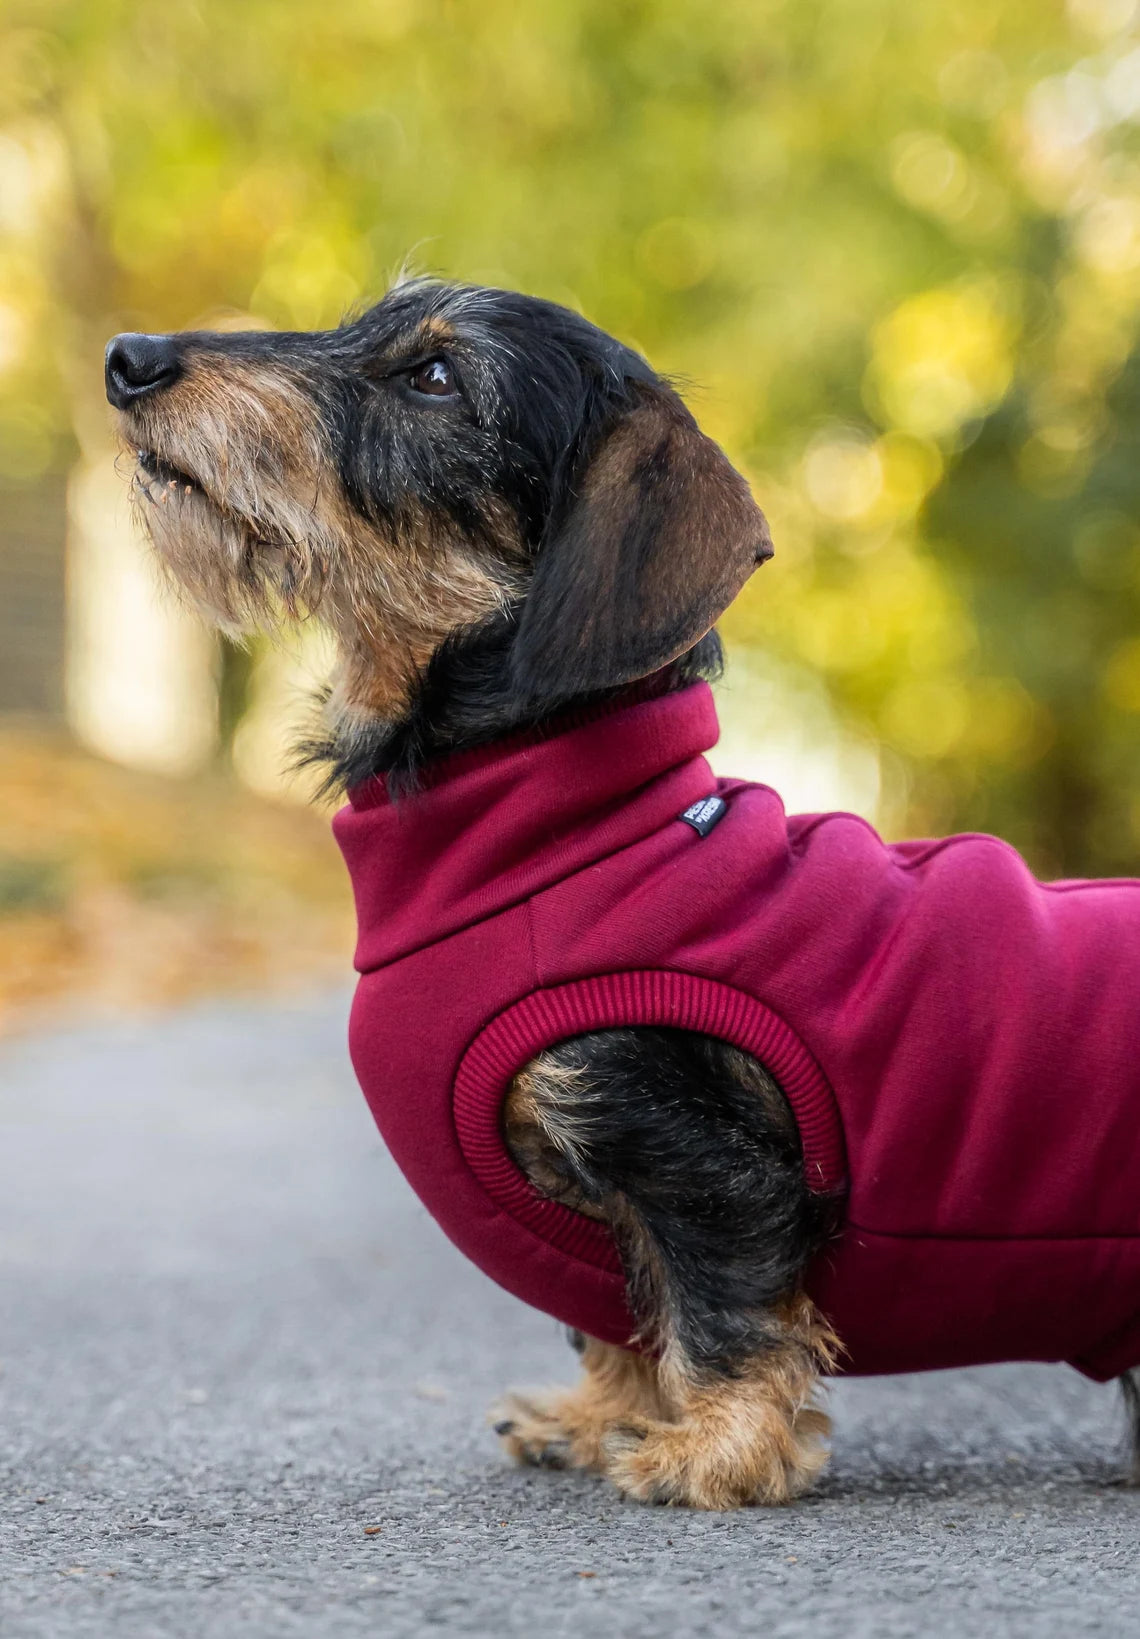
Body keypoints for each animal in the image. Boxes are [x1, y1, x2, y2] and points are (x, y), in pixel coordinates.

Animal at [106, 278, 1140, 1507]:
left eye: (435, 377)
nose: (129, 357)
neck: (565, 835)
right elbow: (619, 1318)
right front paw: (598, 1415)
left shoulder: (690, 1157)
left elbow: (723, 1309)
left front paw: (718, 1451)